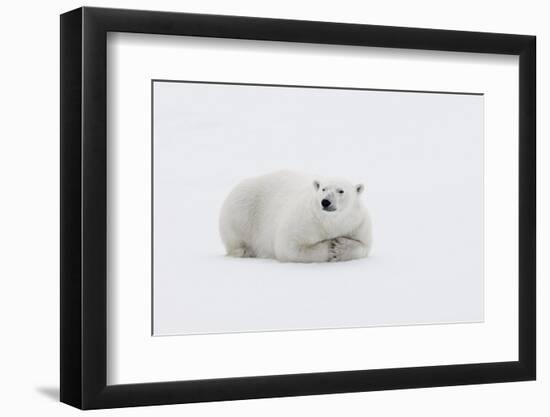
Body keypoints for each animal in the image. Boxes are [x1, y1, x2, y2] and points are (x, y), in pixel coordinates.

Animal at [221, 168, 376, 260]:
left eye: (341, 191)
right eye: (323, 189)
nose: (325, 202)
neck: (329, 222)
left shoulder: (358, 223)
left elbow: (364, 246)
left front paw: (340, 246)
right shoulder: (305, 220)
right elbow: (289, 246)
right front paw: (329, 248)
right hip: (242, 207)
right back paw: (244, 251)